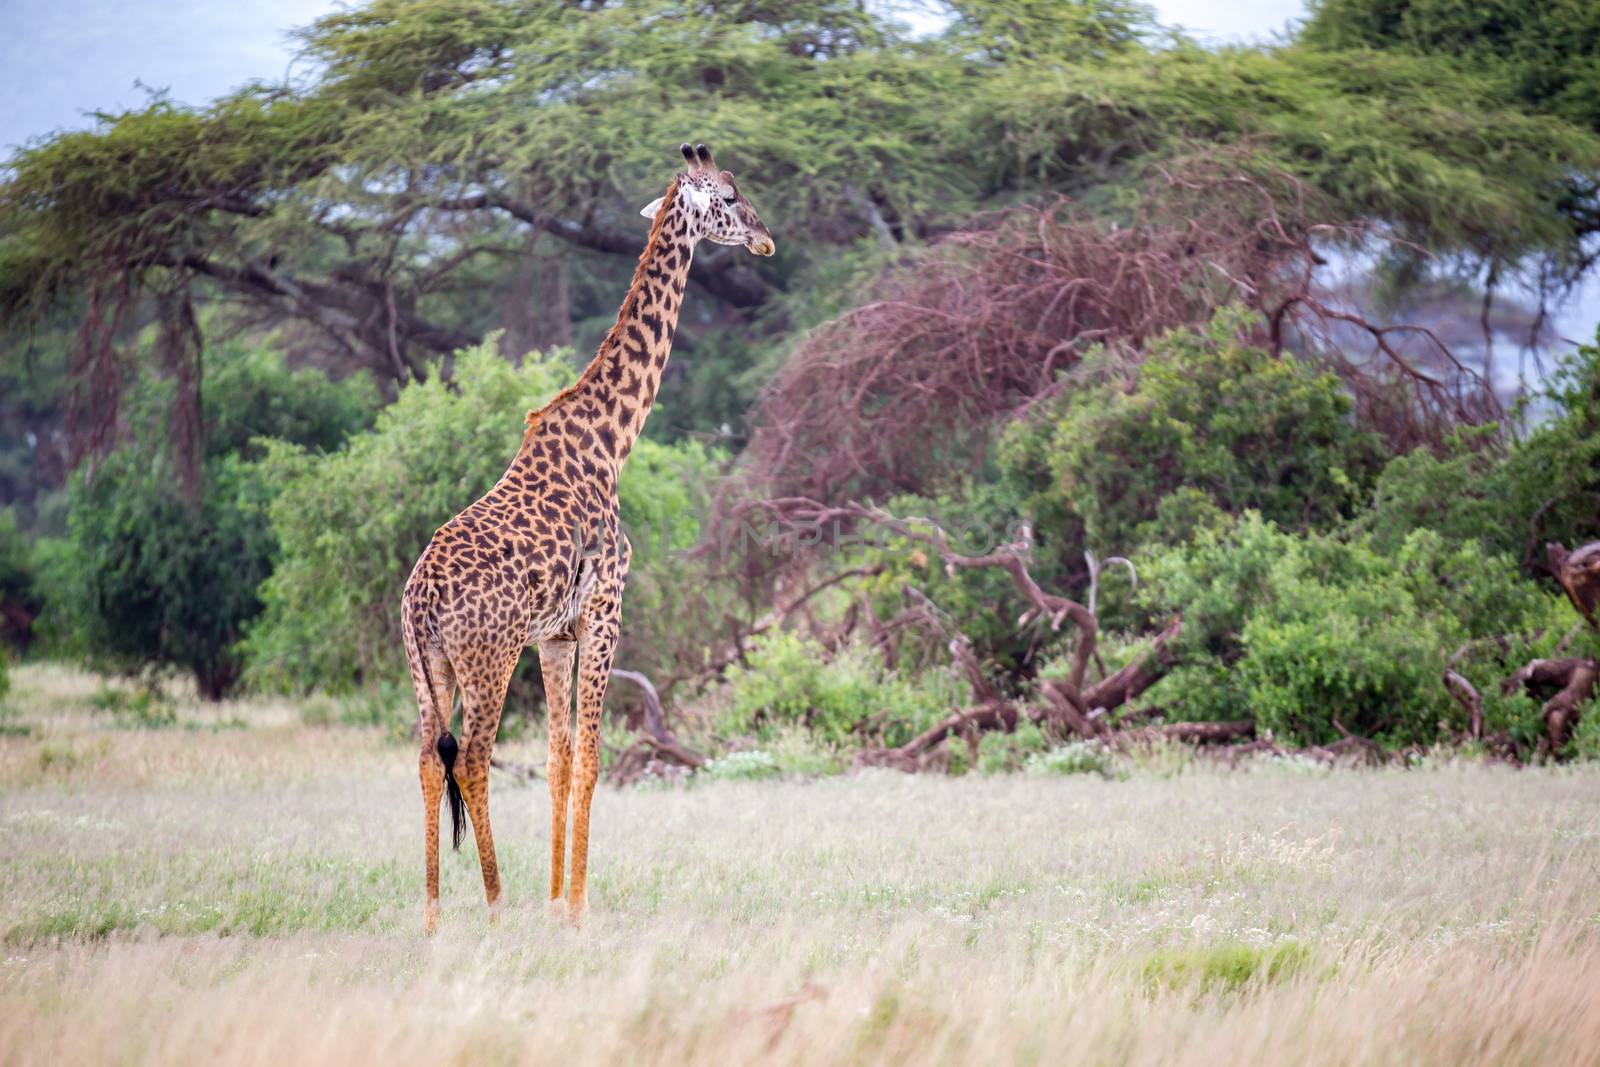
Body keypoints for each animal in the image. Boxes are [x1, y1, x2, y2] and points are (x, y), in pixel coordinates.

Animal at [400, 143, 774, 934]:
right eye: (729, 195)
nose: (766, 239)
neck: (613, 439)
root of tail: (419, 599)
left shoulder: (555, 634)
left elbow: (558, 758)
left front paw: (554, 901)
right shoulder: (605, 608)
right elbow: (594, 757)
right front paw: (574, 909)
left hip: (429, 666)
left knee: (425, 758)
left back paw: (434, 914)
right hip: (488, 657)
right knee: (470, 757)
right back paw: (495, 904)